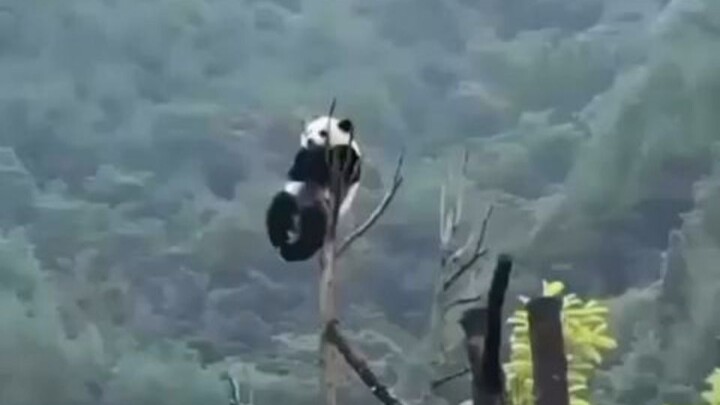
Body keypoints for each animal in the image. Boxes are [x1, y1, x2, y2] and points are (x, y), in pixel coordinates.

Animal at [265, 115, 362, 262]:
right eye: (308, 132)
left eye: (323, 132)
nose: (310, 141)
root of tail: (298, 214)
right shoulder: (302, 157)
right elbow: (298, 171)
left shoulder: (350, 161)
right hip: (295, 197)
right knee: (281, 206)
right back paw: (280, 240)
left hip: (324, 212)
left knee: (314, 226)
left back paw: (294, 251)